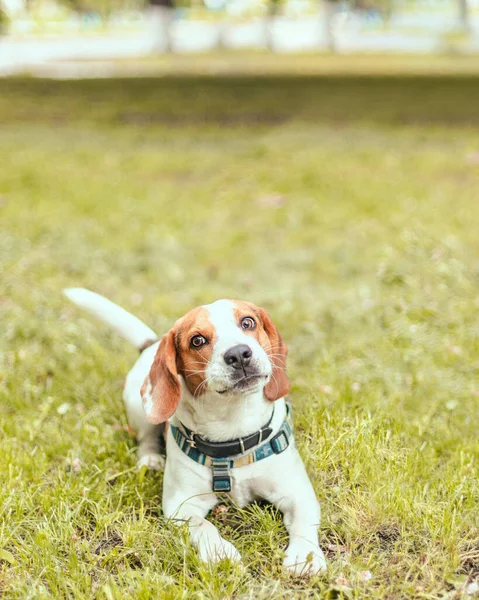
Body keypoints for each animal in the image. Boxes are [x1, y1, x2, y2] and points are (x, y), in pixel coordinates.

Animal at [63, 288, 328, 580]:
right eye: (197, 340)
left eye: (247, 322)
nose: (239, 354)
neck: (233, 423)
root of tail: (151, 344)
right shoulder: (180, 505)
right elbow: (203, 526)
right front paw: (219, 553)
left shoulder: (297, 492)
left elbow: (303, 522)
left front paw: (304, 555)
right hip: (139, 408)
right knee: (146, 438)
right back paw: (151, 459)